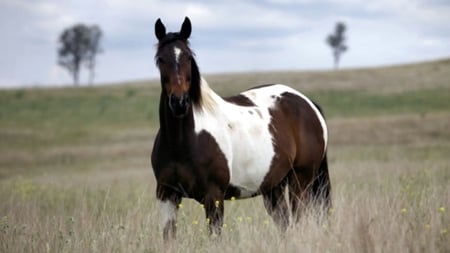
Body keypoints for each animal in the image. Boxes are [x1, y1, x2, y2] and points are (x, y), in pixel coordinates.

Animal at [151, 16, 330, 240]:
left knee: (299, 220)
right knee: (285, 223)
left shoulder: (213, 197)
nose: (179, 102)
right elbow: (169, 238)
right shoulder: (167, 196)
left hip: (301, 181)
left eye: (188, 58)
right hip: (274, 188)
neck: (183, 141)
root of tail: (308, 104)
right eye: (160, 59)